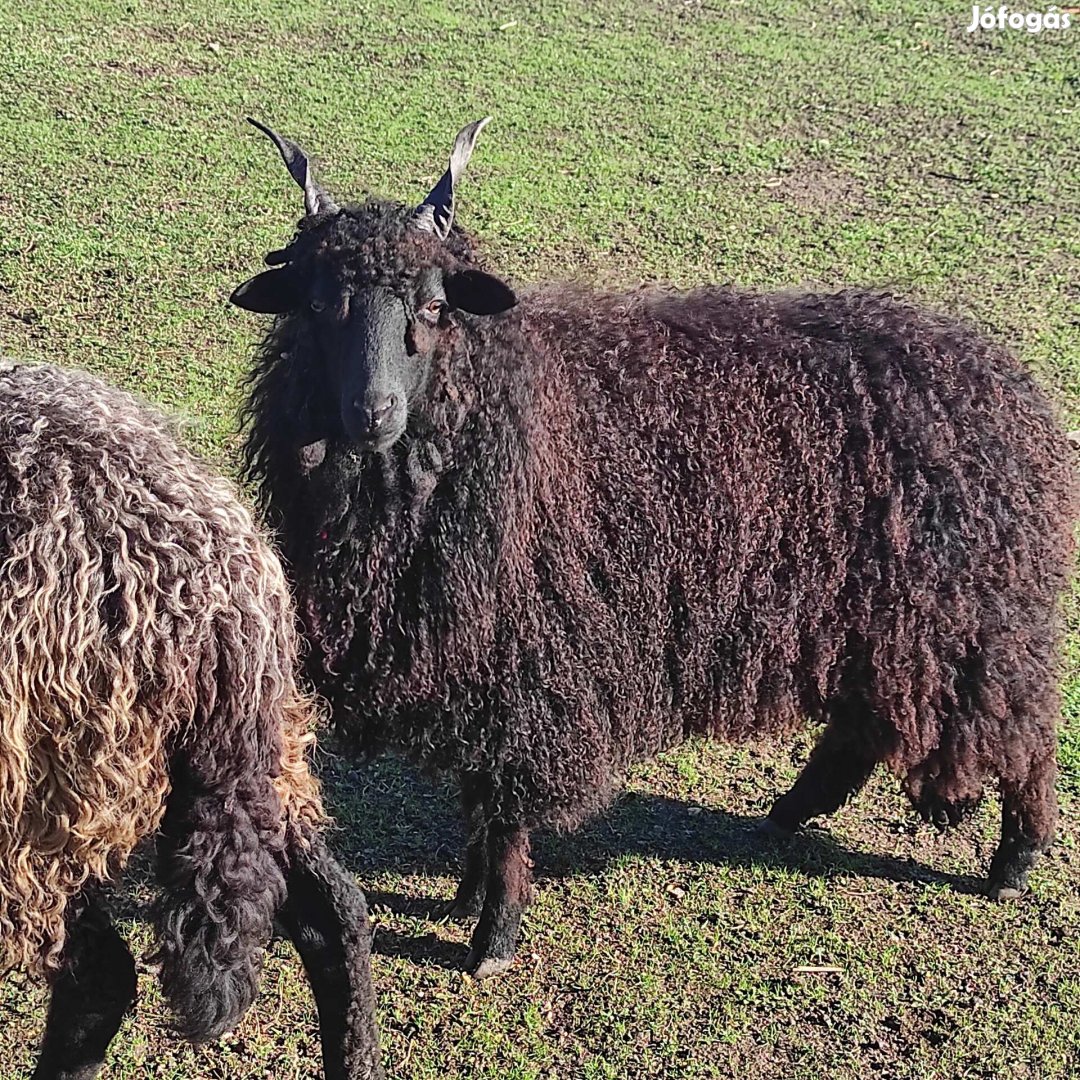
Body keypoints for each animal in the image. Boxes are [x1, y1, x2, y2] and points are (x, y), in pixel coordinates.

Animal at [232, 118, 1075, 980]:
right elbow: (479, 797)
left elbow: (504, 813)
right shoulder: (479, 667)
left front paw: (494, 933)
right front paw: (467, 897)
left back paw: (1015, 860)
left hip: (970, 620)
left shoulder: (529, 665)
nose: (373, 412)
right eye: (317, 304)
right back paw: (791, 811)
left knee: (1023, 730)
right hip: (882, 617)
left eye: (437, 306)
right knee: (861, 731)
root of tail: (1010, 387)